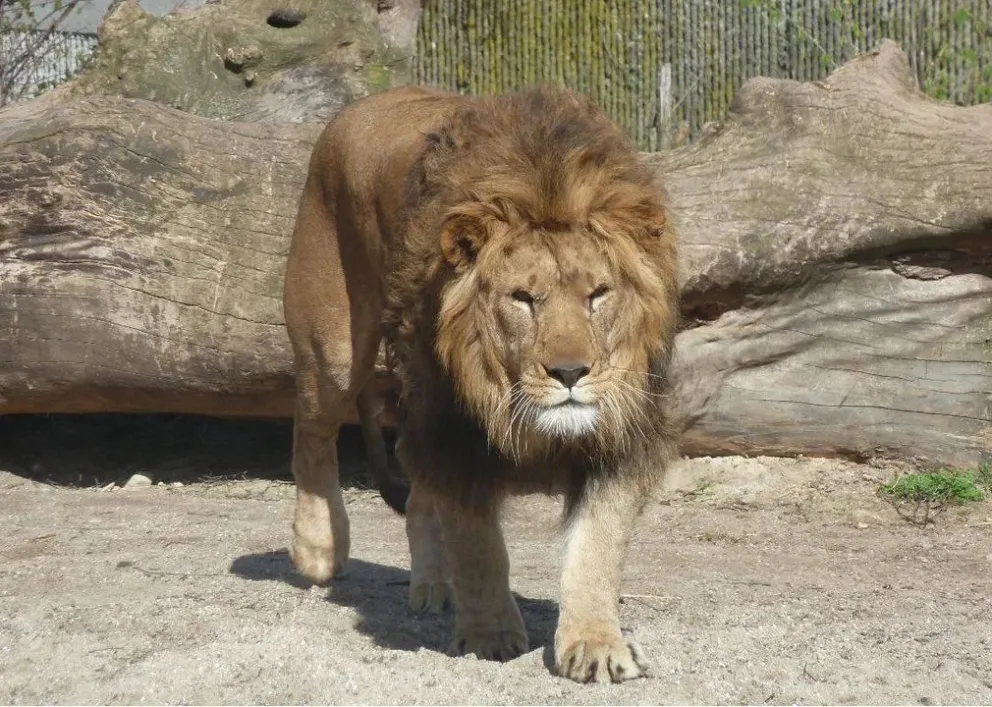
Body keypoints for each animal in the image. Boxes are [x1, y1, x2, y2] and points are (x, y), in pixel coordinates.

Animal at [282, 83, 681, 684]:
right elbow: (478, 543)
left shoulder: (620, 439)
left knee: (414, 479)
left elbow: (596, 547)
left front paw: (595, 645)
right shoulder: (454, 433)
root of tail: (358, 107)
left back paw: (432, 586)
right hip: (331, 347)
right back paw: (317, 549)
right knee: (312, 432)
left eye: (598, 294)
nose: (570, 373)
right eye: (523, 298)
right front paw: (490, 634)